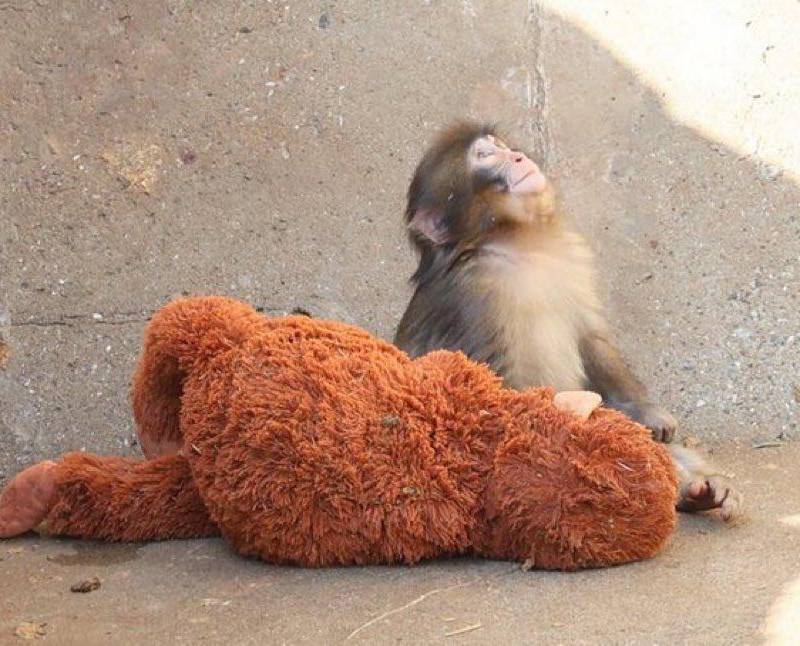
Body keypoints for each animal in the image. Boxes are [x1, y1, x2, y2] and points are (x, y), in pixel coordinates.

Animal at [394, 121, 741, 520]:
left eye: (499, 146)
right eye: (484, 156)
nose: (518, 157)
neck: (518, 244)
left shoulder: (570, 256)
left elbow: (593, 341)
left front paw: (646, 413)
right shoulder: (477, 295)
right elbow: (503, 390)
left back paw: (698, 490)